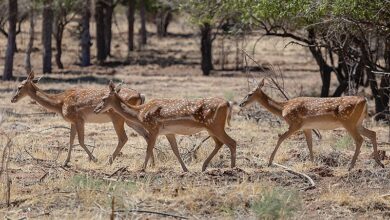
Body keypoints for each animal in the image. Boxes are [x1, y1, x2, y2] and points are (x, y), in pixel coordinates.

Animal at [11, 71, 148, 166]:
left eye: (19, 87)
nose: (13, 99)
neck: (59, 103)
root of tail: (140, 95)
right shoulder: (72, 121)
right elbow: (71, 140)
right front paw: (65, 162)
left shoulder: (79, 119)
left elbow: (80, 141)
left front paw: (94, 159)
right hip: (129, 119)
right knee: (146, 134)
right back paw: (151, 161)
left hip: (117, 116)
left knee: (123, 138)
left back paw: (109, 161)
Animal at [94, 81, 235, 172]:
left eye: (104, 98)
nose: (96, 109)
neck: (140, 113)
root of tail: (228, 103)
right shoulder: (168, 132)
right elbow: (175, 150)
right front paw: (185, 169)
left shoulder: (153, 128)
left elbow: (148, 148)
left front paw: (142, 168)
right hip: (211, 128)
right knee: (220, 143)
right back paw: (204, 166)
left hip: (215, 125)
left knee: (231, 142)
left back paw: (233, 168)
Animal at [239, 79, 386, 170]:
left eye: (249, 94)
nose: (241, 104)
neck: (283, 109)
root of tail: (364, 100)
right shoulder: (307, 127)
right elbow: (309, 144)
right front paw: (313, 162)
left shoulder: (295, 123)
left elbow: (280, 137)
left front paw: (269, 162)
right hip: (358, 123)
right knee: (372, 133)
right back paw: (380, 163)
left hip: (348, 121)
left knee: (359, 139)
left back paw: (350, 166)